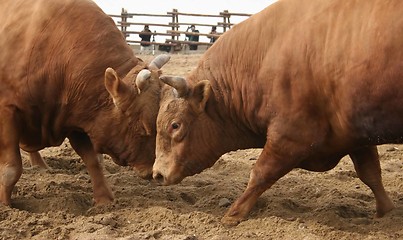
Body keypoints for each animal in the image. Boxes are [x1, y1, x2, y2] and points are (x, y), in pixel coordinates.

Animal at [0, 0, 169, 206]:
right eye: (144, 128)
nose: (154, 172)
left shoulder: (79, 116)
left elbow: (93, 160)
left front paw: (104, 200)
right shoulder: (7, 112)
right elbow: (11, 169)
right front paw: (5, 204)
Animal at [153, 0, 402, 225]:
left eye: (175, 125)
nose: (157, 174)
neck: (262, 61)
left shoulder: (290, 137)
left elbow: (260, 173)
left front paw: (233, 214)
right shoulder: (356, 135)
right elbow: (370, 173)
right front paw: (385, 212)